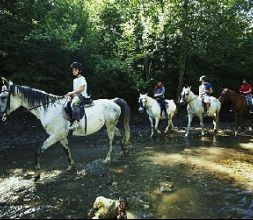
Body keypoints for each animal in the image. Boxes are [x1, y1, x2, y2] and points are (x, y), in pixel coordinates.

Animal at [0, 78, 130, 181]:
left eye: (3, 97)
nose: (1, 116)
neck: (48, 109)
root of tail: (113, 101)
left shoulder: (55, 135)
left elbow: (39, 150)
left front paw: (37, 175)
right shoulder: (61, 136)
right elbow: (66, 149)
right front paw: (71, 166)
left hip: (110, 125)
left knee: (112, 140)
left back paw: (108, 159)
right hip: (110, 125)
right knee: (120, 135)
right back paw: (125, 151)